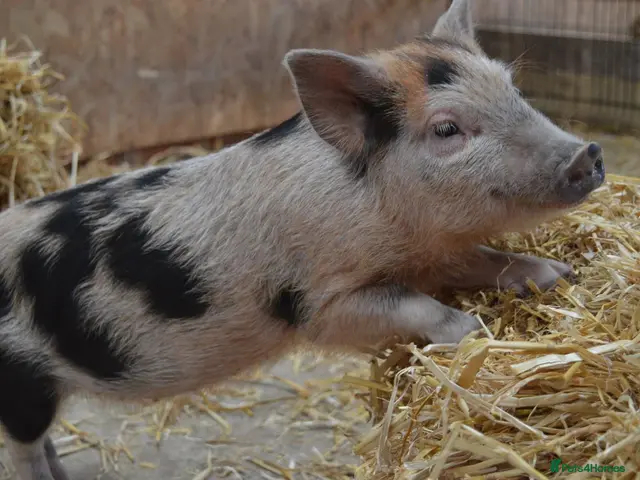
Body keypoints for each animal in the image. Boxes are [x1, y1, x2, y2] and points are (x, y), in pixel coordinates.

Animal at [0, 0, 605, 478]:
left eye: (514, 88)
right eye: (447, 129)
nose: (587, 153)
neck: (393, 229)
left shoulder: (431, 255)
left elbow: (484, 258)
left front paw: (556, 276)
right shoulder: (318, 306)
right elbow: (413, 305)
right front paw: (471, 331)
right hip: (21, 381)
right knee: (24, 446)